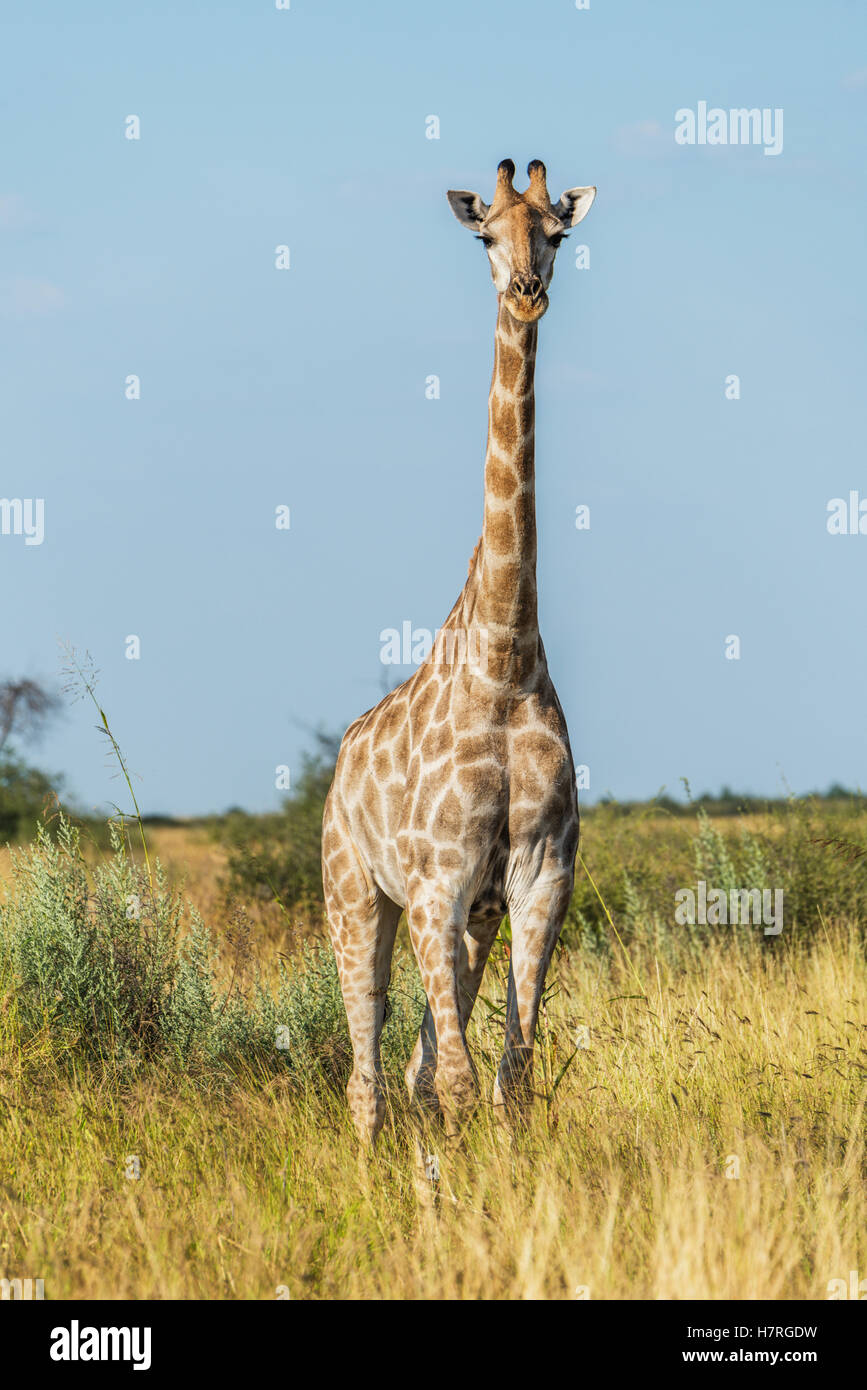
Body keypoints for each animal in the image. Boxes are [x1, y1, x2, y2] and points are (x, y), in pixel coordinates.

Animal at [322, 157, 600, 1145]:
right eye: (485, 233)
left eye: (557, 233)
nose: (526, 291)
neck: (505, 661)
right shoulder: (434, 883)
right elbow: (457, 1075)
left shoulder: (537, 877)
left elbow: (507, 1071)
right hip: (353, 894)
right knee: (367, 1070)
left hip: (471, 918)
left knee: (411, 1065)